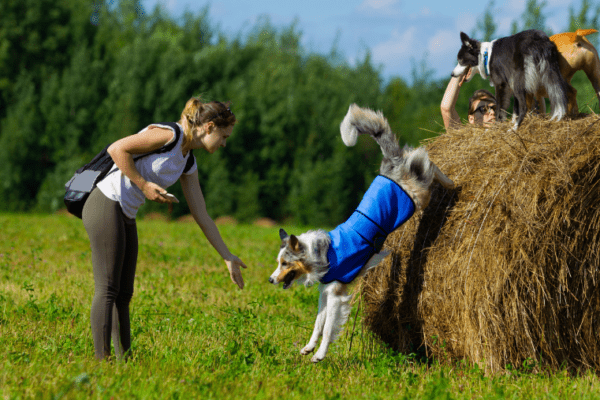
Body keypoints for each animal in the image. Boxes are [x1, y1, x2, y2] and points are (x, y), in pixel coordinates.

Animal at [268, 104, 454, 362]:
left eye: (285, 263)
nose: (270, 279)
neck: (321, 254)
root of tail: (391, 162)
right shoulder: (325, 292)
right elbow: (318, 323)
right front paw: (308, 347)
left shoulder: (336, 295)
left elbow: (328, 328)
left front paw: (320, 354)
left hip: (419, 193)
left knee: (426, 163)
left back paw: (450, 183)